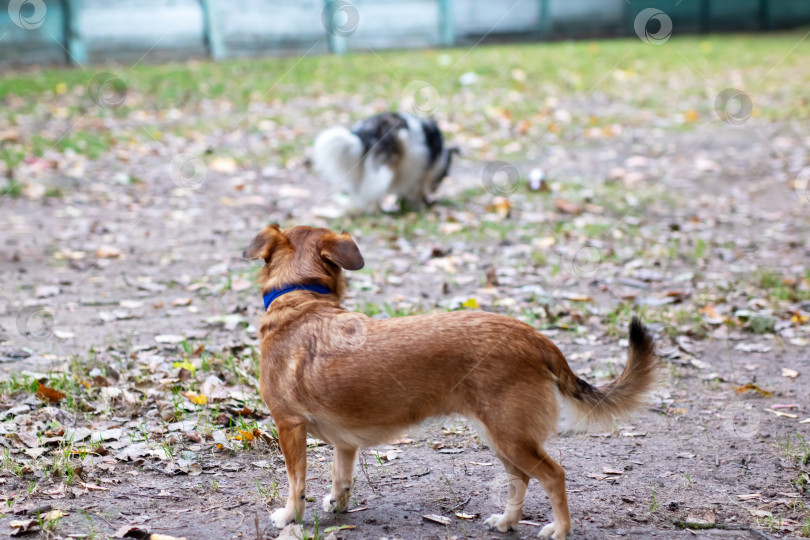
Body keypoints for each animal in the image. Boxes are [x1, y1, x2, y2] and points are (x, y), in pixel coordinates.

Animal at [243, 225, 660, 540]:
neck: (301, 300)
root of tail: (533, 336)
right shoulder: (345, 443)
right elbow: (340, 477)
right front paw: (338, 505)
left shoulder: (289, 426)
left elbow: (297, 482)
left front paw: (290, 516)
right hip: (501, 436)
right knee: (520, 478)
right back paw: (507, 522)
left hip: (510, 436)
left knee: (553, 475)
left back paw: (560, 530)